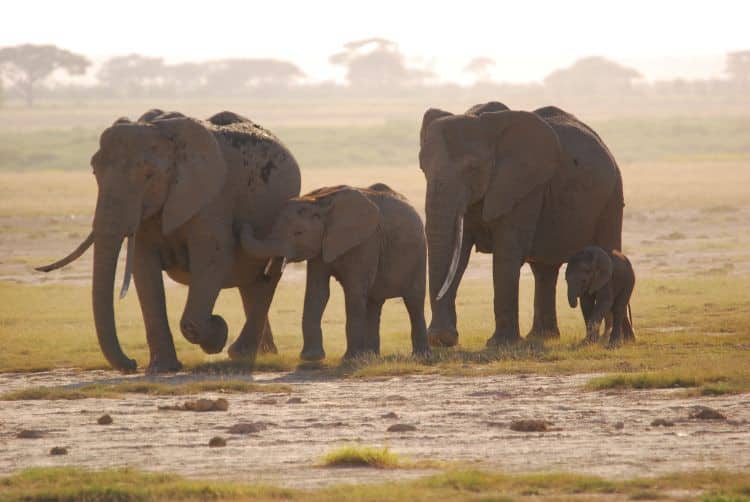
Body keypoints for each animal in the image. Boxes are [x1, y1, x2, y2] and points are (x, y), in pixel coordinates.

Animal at [37, 110, 302, 372]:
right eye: (94, 172)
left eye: (149, 175)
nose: (131, 364)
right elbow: (144, 268)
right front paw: (162, 368)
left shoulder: (210, 199)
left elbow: (212, 259)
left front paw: (218, 333)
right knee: (251, 285)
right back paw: (260, 354)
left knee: (263, 282)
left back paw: (241, 356)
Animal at [241, 184, 428, 360]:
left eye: (298, 233)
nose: (244, 223)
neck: (318, 202)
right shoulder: (320, 247)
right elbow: (317, 292)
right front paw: (311, 358)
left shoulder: (366, 242)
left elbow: (354, 292)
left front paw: (350, 359)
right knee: (374, 303)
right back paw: (370, 356)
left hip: (419, 254)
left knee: (414, 301)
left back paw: (419, 356)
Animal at [420, 100, 624, 348]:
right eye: (423, 168)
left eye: (472, 168)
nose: (441, 338)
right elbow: (458, 253)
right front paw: (443, 339)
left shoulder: (525, 186)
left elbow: (506, 251)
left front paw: (499, 344)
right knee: (544, 270)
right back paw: (542, 336)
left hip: (612, 196)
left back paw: (613, 338)